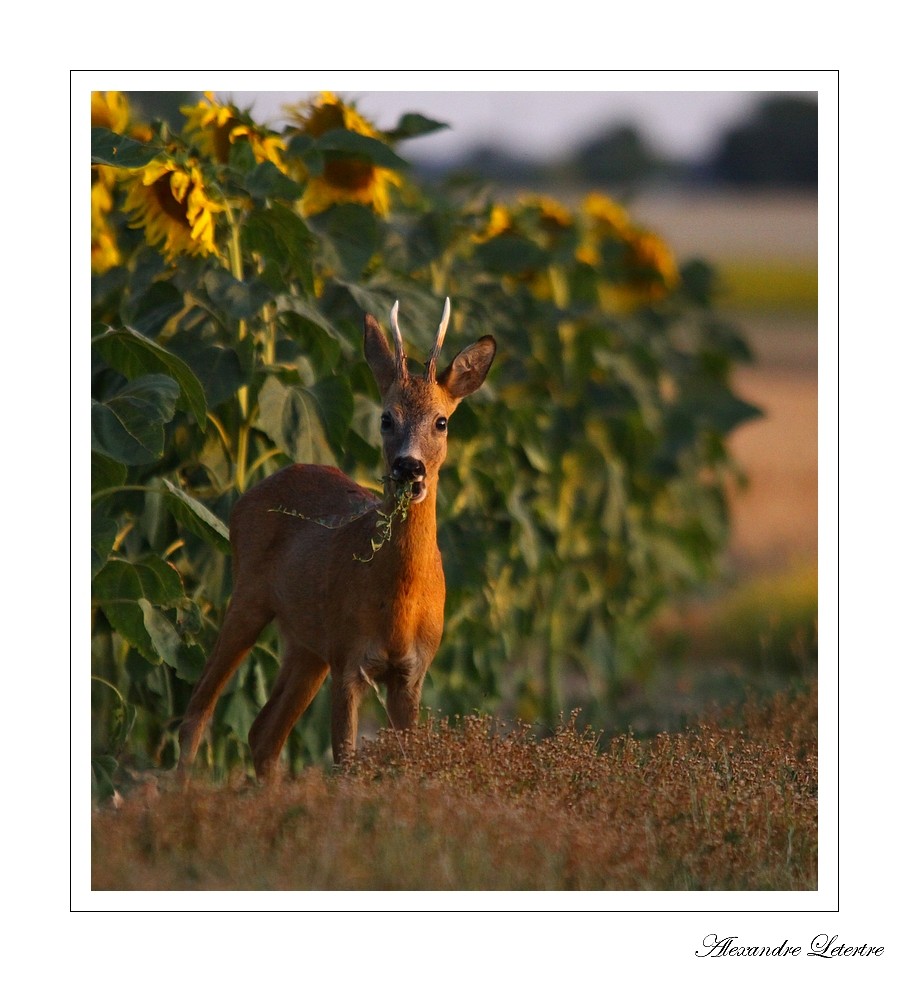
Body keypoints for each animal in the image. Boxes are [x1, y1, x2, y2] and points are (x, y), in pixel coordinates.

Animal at [178, 300, 496, 784]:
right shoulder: (350, 660)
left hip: (307, 643)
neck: (398, 606)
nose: (409, 468)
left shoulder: (411, 672)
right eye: (385, 418)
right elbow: (345, 766)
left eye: (442, 421)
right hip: (249, 597)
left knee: (263, 732)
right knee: (199, 706)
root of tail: (256, 487)